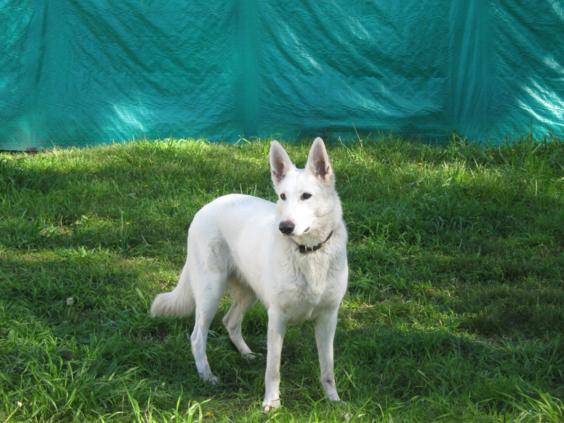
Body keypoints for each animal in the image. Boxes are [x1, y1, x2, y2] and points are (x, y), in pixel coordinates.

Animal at [149, 138, 348, 410]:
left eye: (306, 196)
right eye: (282, 196)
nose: (284, 227)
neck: (308, 252)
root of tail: (207, 206)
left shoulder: (328, 318)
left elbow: (328, 368)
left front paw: (333, 401)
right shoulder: (277, 319)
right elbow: (273, 370)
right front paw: (272, 404)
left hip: (248, 292)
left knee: (230, 321)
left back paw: (246, 354)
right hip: (210, 292)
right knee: (197, 336)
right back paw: (207, 376)